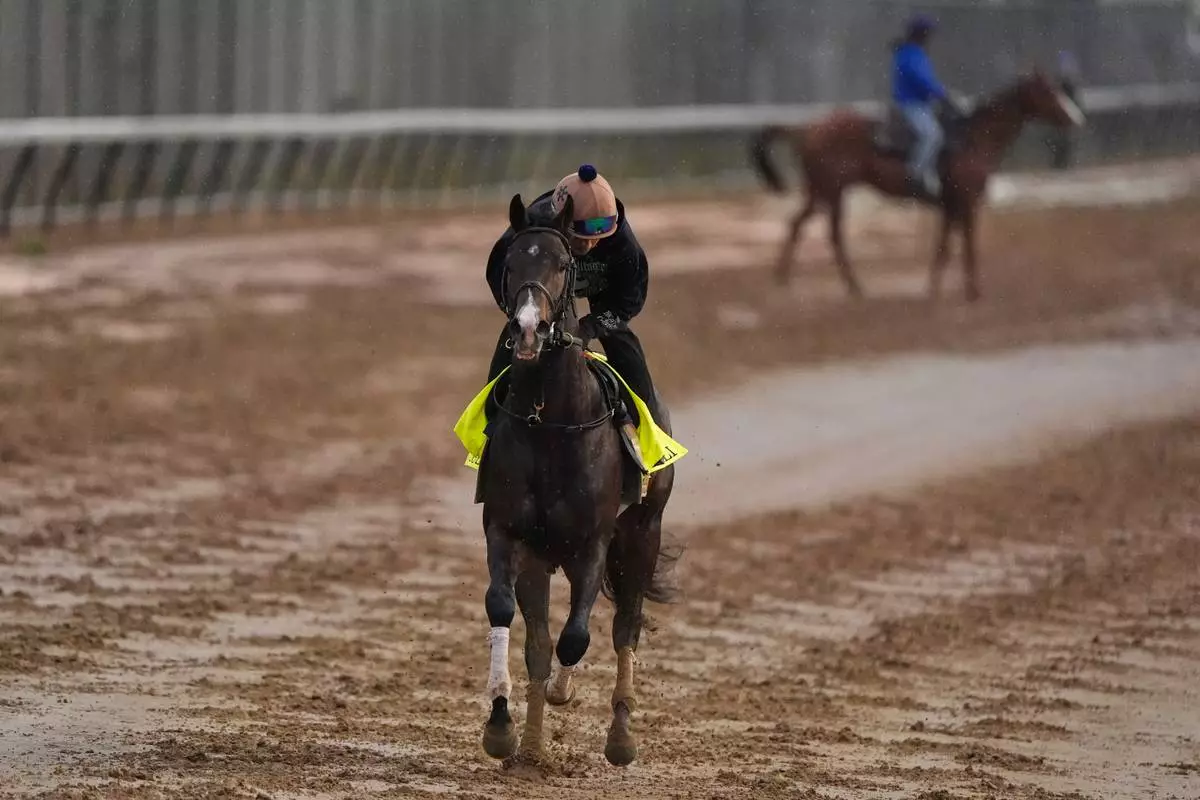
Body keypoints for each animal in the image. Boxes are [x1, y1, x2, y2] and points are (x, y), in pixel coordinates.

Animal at [477, 192, 679, 767]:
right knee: (541, 641)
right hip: (545, 556)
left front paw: (563, 693)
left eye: (562, 264)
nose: (528, 328)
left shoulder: (593, 543)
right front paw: (503, 729)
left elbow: (577, 638)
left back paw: (621, 737)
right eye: (512, 262)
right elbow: (512, 618)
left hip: (642, 534)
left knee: (625, 626)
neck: (552, 420)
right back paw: (532, 747)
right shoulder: (509, 533)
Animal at [749, 69, 1086, 302]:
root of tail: (808, 129)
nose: (1076, 119)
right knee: (823, 233)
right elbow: (965, 245)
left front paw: (938, 288)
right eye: (1047, 91)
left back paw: (806, 282)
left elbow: (946, 246)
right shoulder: (966, 202)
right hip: (828, 191)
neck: (973, 139)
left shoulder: (952, 205)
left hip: (825, 192)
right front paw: (966, 291)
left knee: (804, 227)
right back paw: (840, 285)